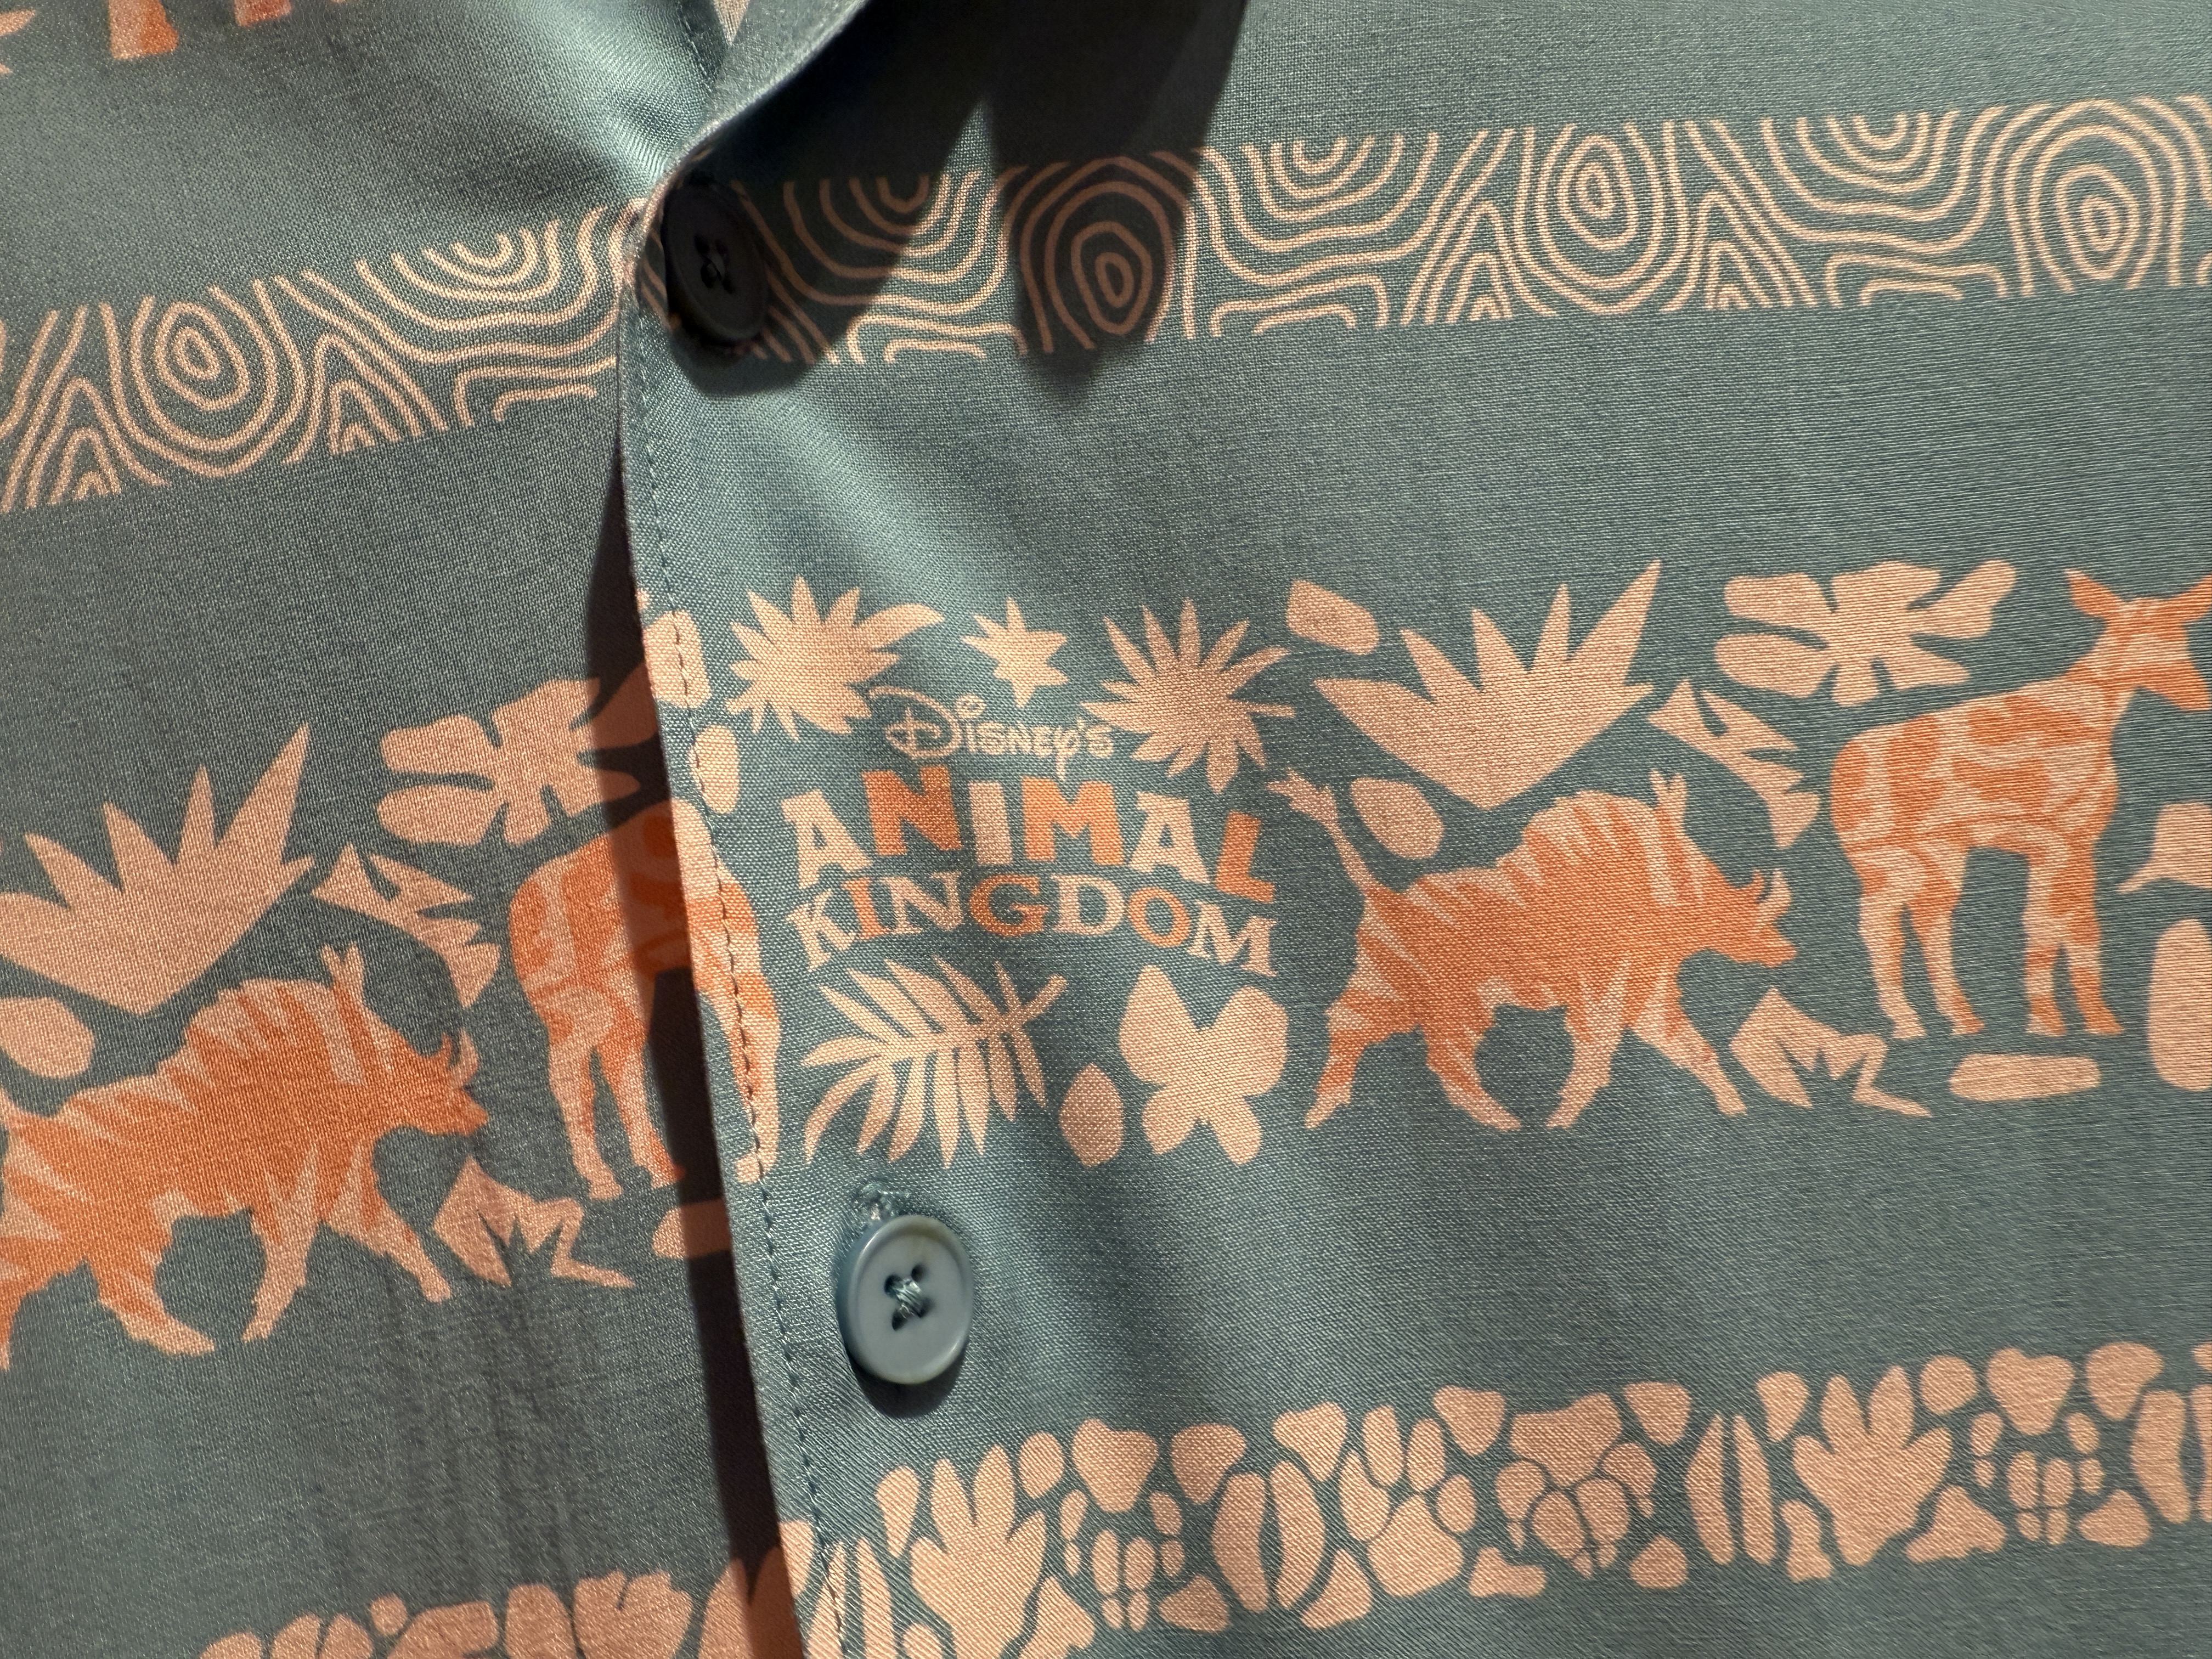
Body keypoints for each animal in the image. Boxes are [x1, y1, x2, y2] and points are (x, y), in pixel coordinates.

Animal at [1831, 569, 2212, 1041]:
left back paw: (1958, 1020)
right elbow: (2049, 921)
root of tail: (1838, 773)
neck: (2093, 716)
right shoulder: (2055, 836)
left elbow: (2077, 923)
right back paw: (1910, 1023)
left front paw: (2085, 1020)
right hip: (1884, 858)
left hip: (1936, 856)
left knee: (1924, 921)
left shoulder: (2076, 842)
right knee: (1881, 926)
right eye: (2147, 635)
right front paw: (2057, 1022)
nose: (2197, 695)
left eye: (2181, 633)